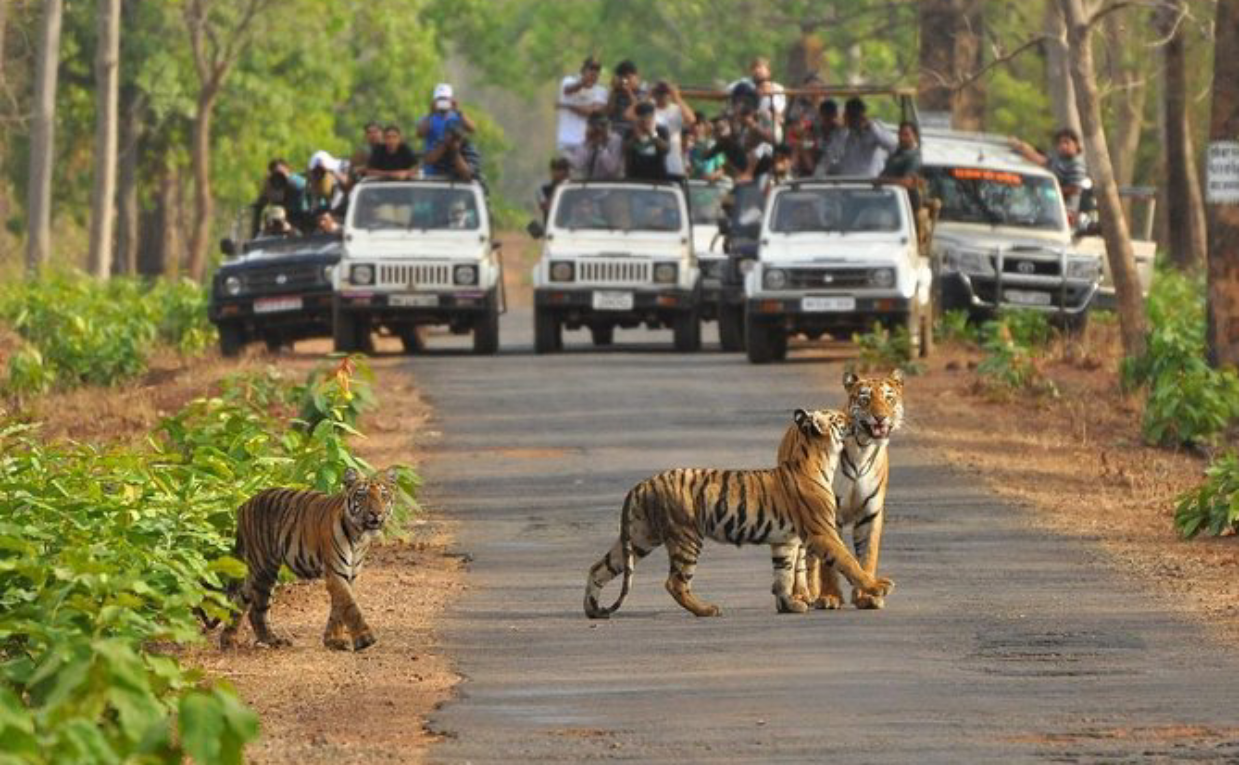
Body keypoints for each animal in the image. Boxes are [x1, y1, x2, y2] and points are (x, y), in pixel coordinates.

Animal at [213, 466, 396, 649]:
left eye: (384, 495)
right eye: (362, 495)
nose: (376, 513)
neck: (359, 536)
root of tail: (244, 505)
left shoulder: (350, 575)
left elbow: (338, 608)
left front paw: (333, 640)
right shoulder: (335, 573)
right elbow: (350, 606)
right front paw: (365, 639)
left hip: (258, 570)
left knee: (241, 600)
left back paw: (229, 640)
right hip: (264, 568)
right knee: (256, 610)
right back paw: (270, 640)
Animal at [584, 409, 897, 617]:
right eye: (838, 418)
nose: (854, 417)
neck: (819, 458)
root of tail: (641, 485)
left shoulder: (785, 540)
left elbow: (783, 574)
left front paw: (789, 605)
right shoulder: (822, 532)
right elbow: (848, 561)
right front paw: (877, 586)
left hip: (640, 537)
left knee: (599, 567)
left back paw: (592, 609)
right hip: (686, 537)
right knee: (675, 582)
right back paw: (707, 609)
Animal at [778, 367, 906, 612]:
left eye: (889, 398)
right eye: (865, 399)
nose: (880, 417)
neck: (863, 448)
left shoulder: (870, 513)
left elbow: (867, 556)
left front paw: (867, 596)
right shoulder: (830, 513)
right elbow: (831, 563)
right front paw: (830, 597)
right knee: (800, 558)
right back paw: (802, 595)